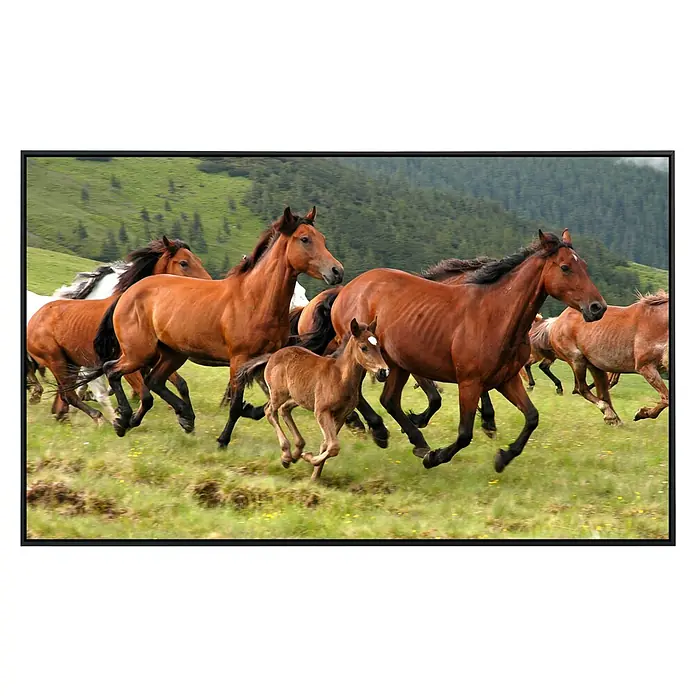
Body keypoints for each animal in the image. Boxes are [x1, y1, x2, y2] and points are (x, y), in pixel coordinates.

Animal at [27, 238, 210, 424]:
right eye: (183, 263)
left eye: (199, 261)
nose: (208, 285)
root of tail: (34, 318)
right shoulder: (127, 361)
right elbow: (145, 394)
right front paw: (123, 416)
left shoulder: (153, 359)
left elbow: (180, 384)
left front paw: (185, 417)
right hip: (56, 360)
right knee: (69, 393)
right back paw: (96, 417)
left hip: (70, 362)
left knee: (66, 392)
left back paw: (63, 414)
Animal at [92, 206, 343, 445]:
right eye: (305, 239)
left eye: (322, 238)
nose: (337, 271)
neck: (255, 300)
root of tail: (128, 294)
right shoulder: (239, 360)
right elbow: (236, 406)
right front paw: (223, 440)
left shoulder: (264, 361)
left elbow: (267, 403)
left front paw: (249, 410)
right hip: (139, 353)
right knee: (112, 370)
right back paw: (124, 420)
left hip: (172, 353)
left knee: (154, 380)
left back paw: (174, 417)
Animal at [237, 319, 389, 480]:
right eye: (364, 347)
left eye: (378, 347)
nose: (383, 372)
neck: (340, 376)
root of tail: (272, 355)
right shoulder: (322, 411)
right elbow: (333, 446)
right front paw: (309, 458)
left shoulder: (341, 415)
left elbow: (327, 444)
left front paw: (315, 476)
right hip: (278, 394)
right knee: (270, 411)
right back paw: (286, 455)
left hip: (298, 398)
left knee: (285, 409)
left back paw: (296, 452)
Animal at [309, 229, 607, 473]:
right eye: (566, 267)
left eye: (584, 266)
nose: (597, 308)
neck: (495, 315)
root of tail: (347, 289)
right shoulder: (470, 382)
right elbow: (464, 433)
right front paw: (436, 457)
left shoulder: (507, 380)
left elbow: (532, 417)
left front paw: (503, 457)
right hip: (367, 357)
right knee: (362, 394)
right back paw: (381, 431)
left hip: (397, 364)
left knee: (390, 400)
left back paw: (414, 440)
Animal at [543, 290, 669, 424]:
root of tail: (556, 321)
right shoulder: (645, 367)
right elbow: (666, 398)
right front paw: (642, 413)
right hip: (577, 360)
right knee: (582, 389)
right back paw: (610, 415)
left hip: (595, 366)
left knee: (601, 392)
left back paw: (614, 419)